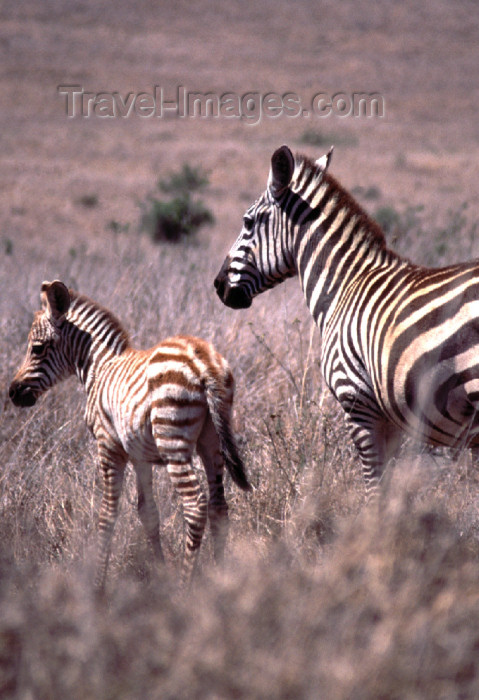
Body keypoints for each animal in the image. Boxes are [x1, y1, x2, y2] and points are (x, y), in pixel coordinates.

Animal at [9, 282, 251, 588]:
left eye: (37, 348)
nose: (12, 393)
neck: (99, 367)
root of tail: (203, 361)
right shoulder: (139, 454)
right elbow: (147, 513)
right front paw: (160, 573)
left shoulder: (108, 445)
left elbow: (108, 514)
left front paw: (98, 585)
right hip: (212, 440)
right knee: (219, 507)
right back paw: (219, 577)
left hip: (173, 440)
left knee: (195, 505)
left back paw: (185, 587)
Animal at [217, 145, 479, 498]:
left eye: (247, 222)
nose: (218, 286)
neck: (344, 285)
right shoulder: (389, 418)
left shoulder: (357, 403)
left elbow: (373, 491)